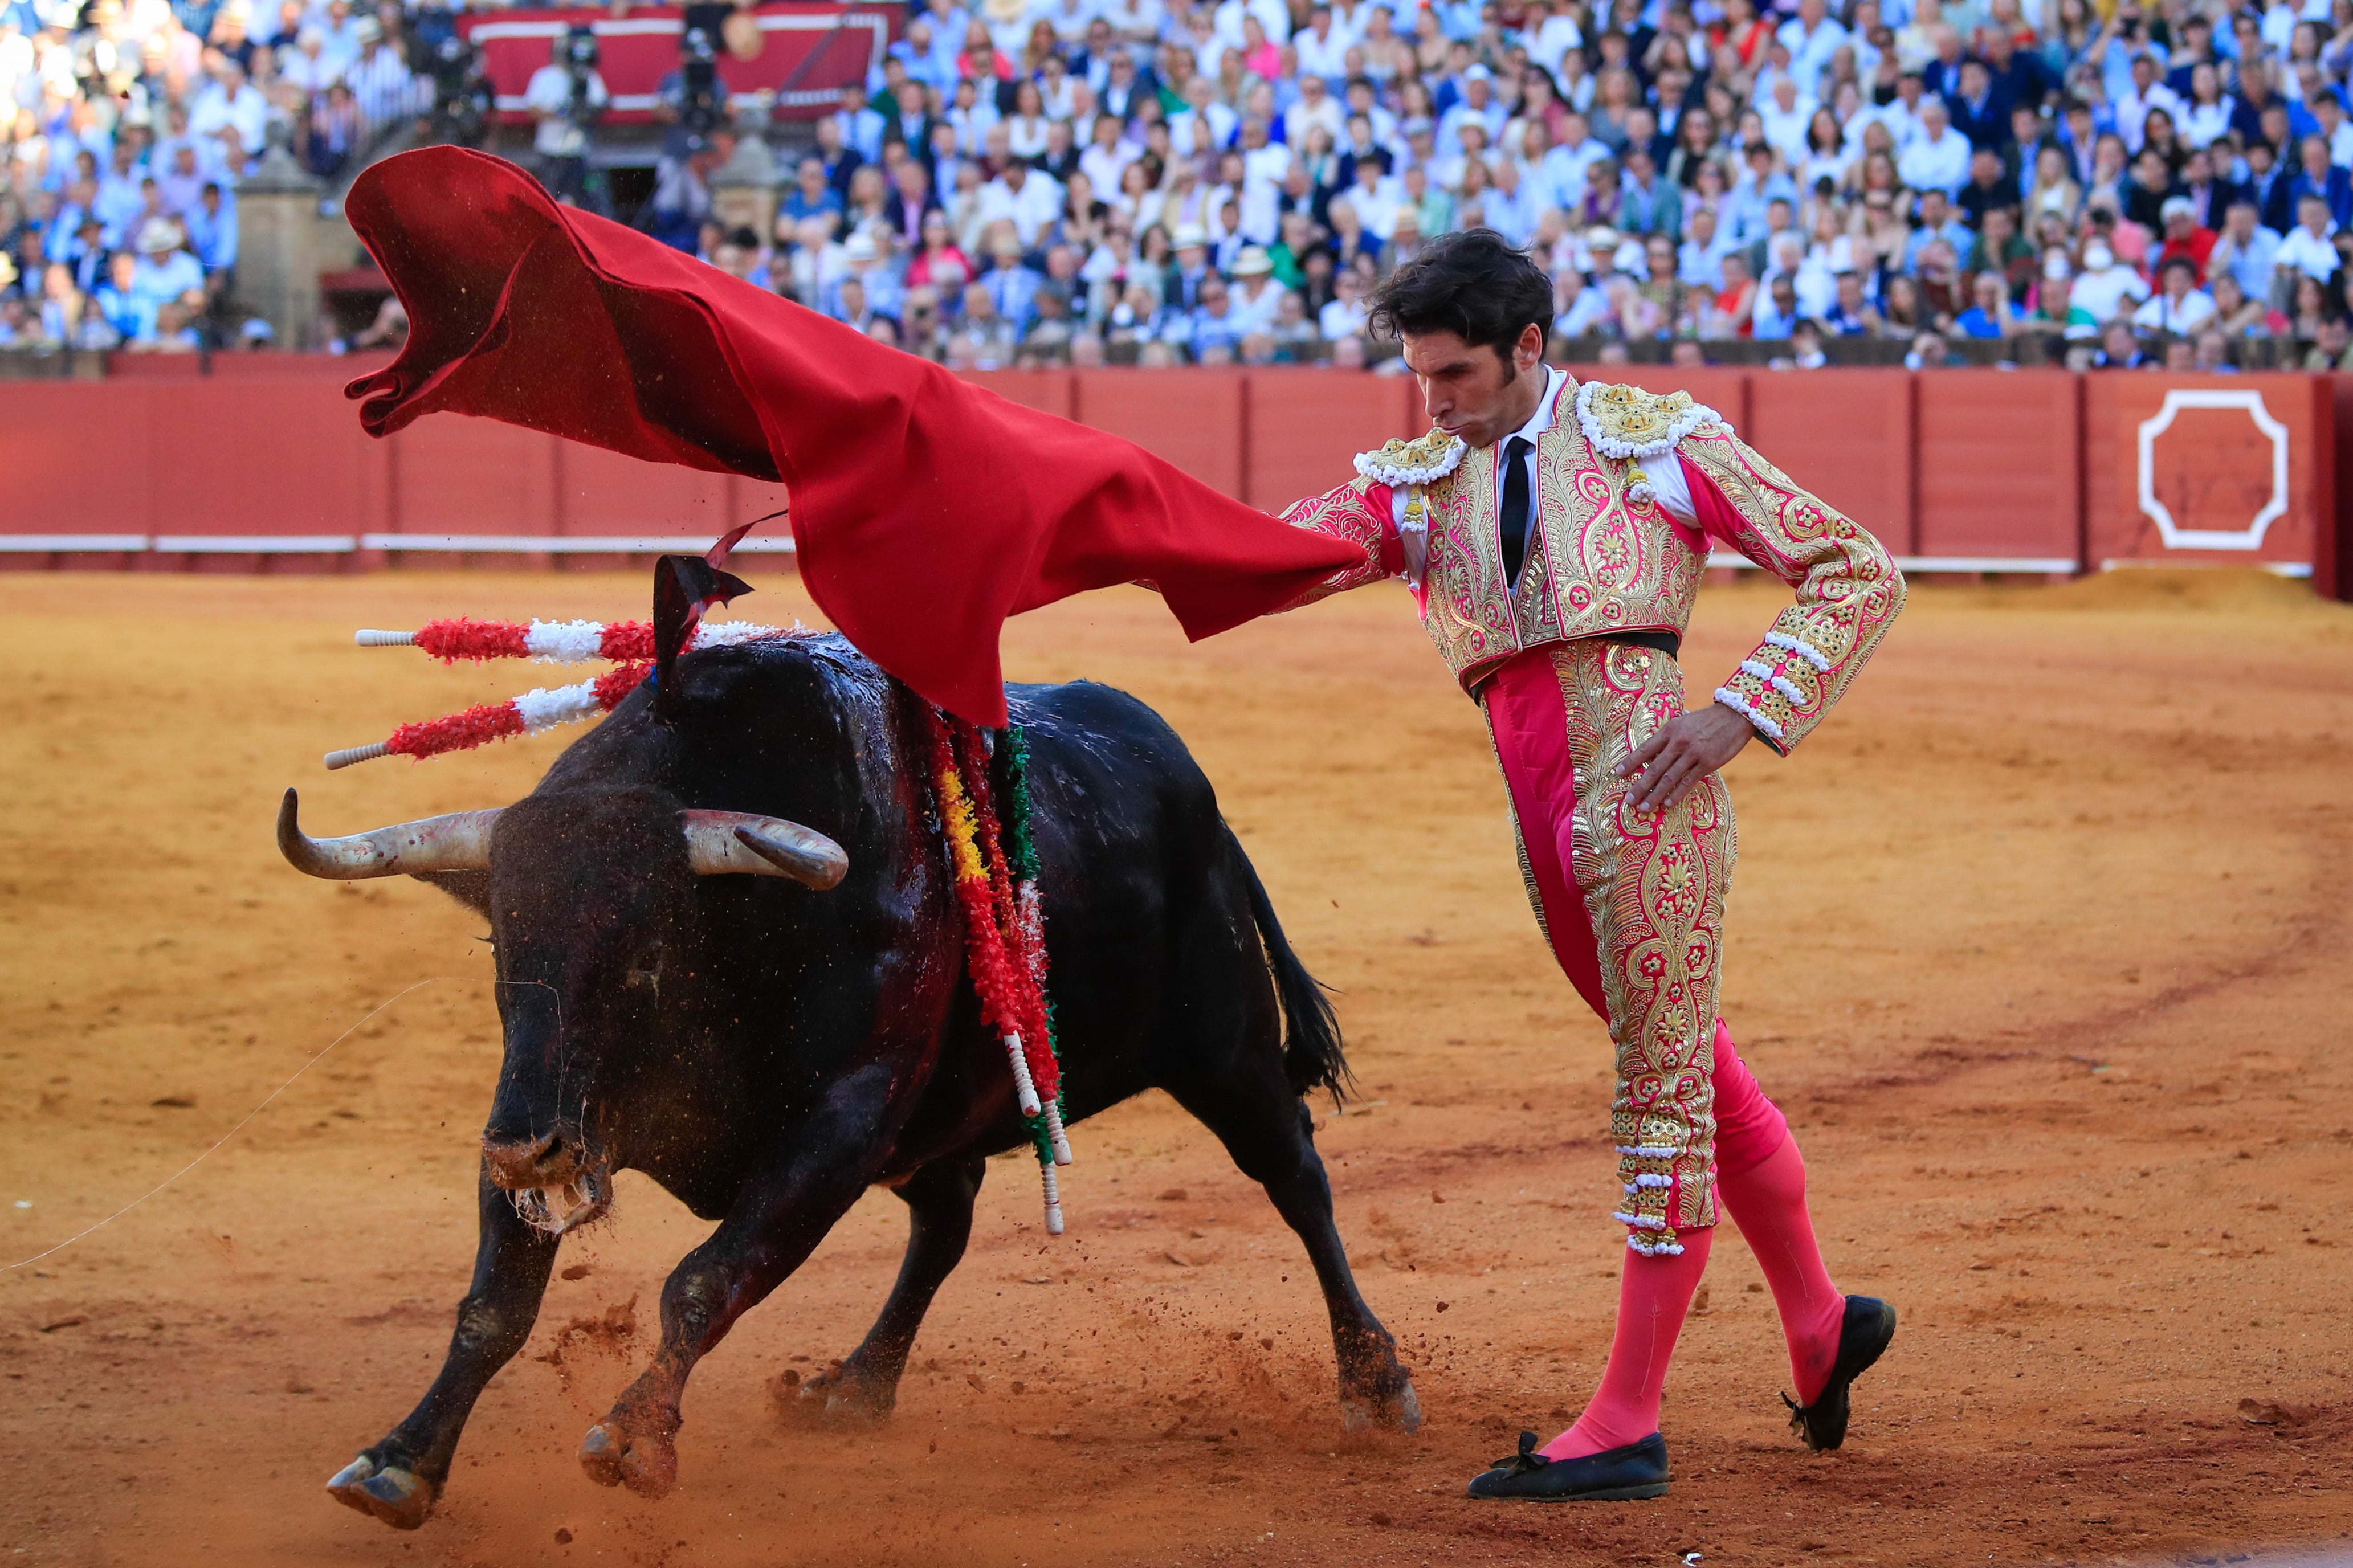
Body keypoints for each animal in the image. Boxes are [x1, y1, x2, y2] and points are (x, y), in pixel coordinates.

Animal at [275, 606, 1412, 1533]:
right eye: (504, 954)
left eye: (644, 958)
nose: (528, 1152)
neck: (743, 931)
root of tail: (1194, 791)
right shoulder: (556, 1106)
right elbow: (493, 1305)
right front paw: (398, 1462)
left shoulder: (839, 1126)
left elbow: (706, 1278)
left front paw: (635, 1437)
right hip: (942, 1118)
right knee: (945, 1223)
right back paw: (852, 1387)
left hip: (1225, 1047)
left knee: (1296, 1180)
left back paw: (1372, 1381)